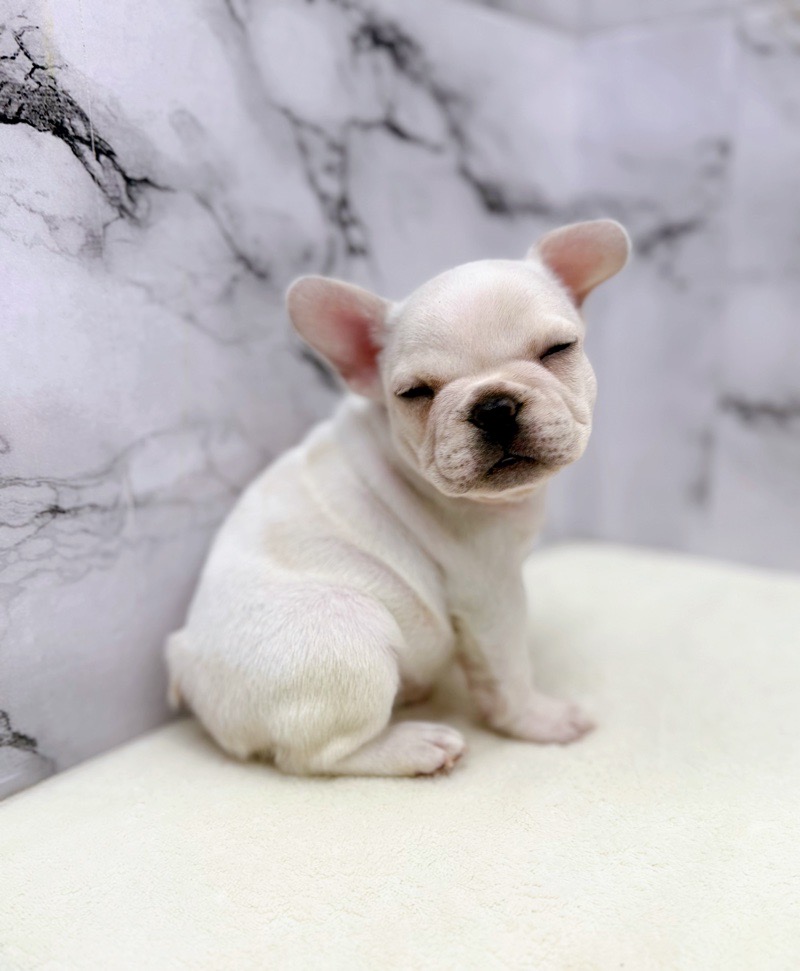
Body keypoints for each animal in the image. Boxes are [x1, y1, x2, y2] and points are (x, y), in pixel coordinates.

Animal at [166, 219, 630, 777]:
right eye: (415, 393)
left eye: (558, 349)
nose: (494, 406)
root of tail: (185, 665)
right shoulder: (490, 593)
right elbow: (508, 673)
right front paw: (542, 721)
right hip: (349, 633)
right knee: (315, 756)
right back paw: (416, 745)